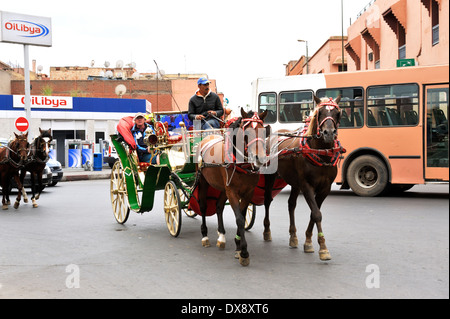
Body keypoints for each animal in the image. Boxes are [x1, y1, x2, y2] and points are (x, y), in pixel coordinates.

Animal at [197, 109, 268, 266]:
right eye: (247, 133)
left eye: (264, 131)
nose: (260, 158)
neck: (241, 164)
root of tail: (208, 136)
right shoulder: (232, 192)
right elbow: (239, 219)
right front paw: (244, 252)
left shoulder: (248, 193)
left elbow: (241, 214)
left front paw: (238, 246)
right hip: (203, 181)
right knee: (203, 206)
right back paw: (204, 236)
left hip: (223, 188)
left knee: (218, 206)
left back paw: (221, 236)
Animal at [262, 96, 342, 262]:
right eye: (319, 113)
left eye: (338, 113)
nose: (329, 133)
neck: (321, 152)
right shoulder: (306, 186)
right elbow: (317, 213)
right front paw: (323, 248)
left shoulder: (325, 188)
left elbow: (314, 213)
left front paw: (308, 241)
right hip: (270, 175)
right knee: (267, 200)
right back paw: (267, 230)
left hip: (294, 182)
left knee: (291, 204)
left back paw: (293, 236)